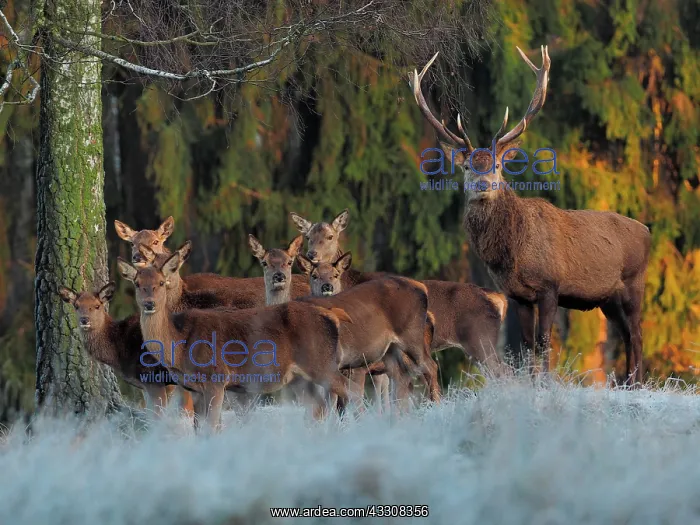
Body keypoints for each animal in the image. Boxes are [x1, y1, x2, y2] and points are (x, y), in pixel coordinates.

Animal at [117, 251, 360, 431]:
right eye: (137, 283)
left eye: (160, 282)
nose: (149, 303)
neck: (180, 344)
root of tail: (332, 314)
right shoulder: (194, 389)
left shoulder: (216, 378)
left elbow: (212, 428)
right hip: (300, 377)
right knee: (319, 407)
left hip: (321, 363)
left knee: (352, 391)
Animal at [410, 45, 651, 384]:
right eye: (468, 165)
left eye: (498, 165)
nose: (483, 184)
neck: (514, 252)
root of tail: (647, 231)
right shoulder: (518, 295)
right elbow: (525, 344)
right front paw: (531, 382)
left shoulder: (550, 286)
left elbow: (544, 340)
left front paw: (546, 383)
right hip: (608, 299)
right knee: (628, 335)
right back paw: (629, 384)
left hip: (633, 284)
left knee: (638, 334)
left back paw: (637, 384)